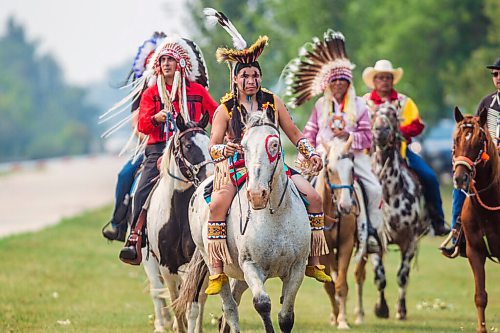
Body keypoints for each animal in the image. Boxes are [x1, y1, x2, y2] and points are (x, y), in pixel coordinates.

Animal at [141, 112, 213, 332]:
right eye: (188, 146)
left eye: (209, 143)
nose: (210, 177)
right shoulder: (167, 265)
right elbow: (176, 306)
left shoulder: (196, 265)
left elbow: (192, 306)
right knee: (157, 291)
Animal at [176, 109, 310, 332]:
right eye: (243, 146)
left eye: (274, 145)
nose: (256, 194)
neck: (276, 215)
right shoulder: (251, 265)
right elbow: (262, 304)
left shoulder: (297, 268)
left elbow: (286, 317)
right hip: (214, 263)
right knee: (229, 307)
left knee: (231, 303)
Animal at [358, 104, 432, 320]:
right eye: (373, 114)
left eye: (392, 113)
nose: (381, 131)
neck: (390, 193)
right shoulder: (375, 240)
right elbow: (380, 276)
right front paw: (381, 308)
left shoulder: (410, 241)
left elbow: (402, 276)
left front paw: (401, 309)